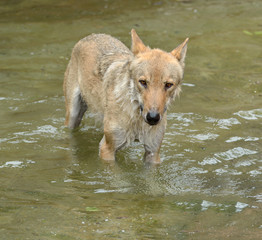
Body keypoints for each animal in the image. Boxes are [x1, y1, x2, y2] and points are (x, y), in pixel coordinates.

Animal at [64, 28, 188, 163]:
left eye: (168, 85)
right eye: (143, 82)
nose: (153, 117)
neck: (136, 117)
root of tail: (91, 36)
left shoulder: (153, 152)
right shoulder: (107, 149)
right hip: (73, 116)